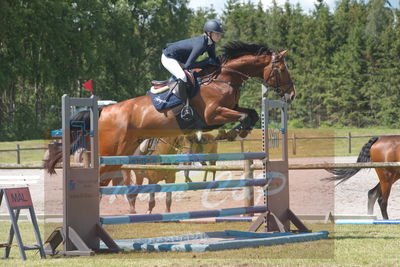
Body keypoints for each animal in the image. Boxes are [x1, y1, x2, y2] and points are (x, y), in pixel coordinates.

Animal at [43, 42, 296, 188]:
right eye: (282, 68)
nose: (291, 95)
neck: (224, 78)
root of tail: (103, 110)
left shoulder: (227, 110)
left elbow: (251, 114)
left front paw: (237, 133)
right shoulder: (212, 115)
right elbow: (242, 117)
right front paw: (234, 133)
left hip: (124, 150)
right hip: (111, 149)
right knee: (100, 175)